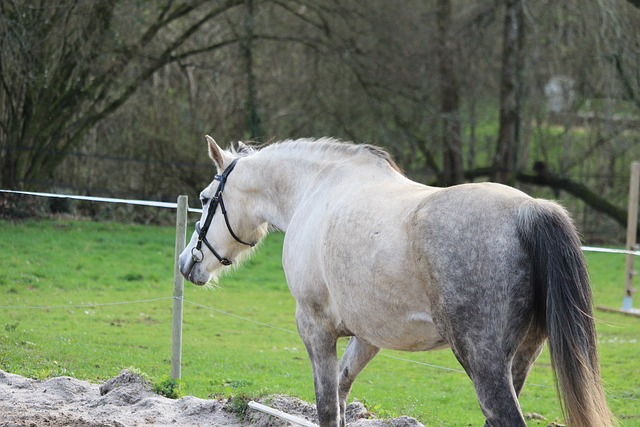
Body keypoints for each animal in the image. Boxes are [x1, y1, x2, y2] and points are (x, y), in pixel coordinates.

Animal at [178, 136, 612, 427]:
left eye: (204, 199)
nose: (186, 262)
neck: (314, 191)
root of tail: (530, 211)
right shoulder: (367, 338)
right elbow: (342, 394)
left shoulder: (315, 328)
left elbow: (326, 407)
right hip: (519, 360)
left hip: (483, 363)